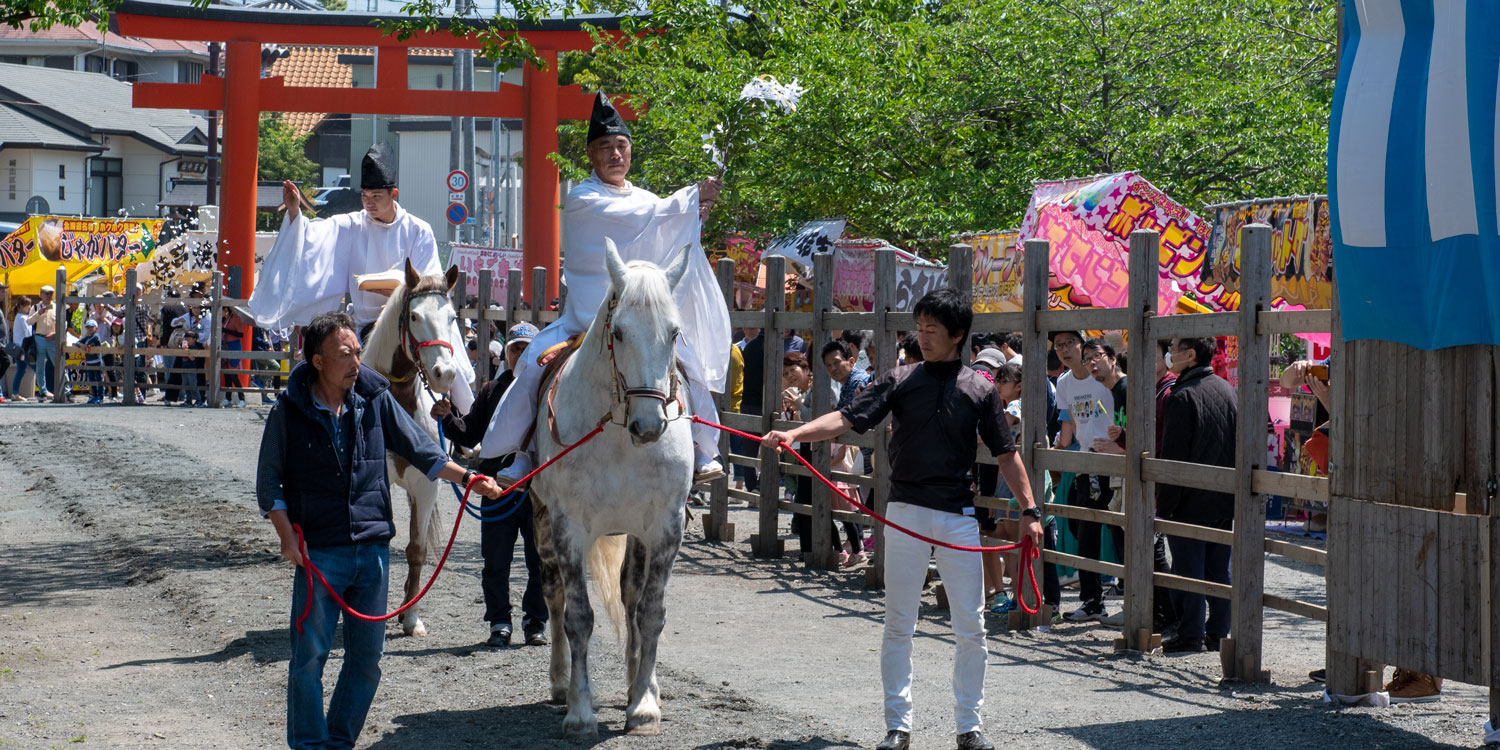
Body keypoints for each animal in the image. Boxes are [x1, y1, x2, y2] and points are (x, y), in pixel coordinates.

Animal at [360, 259, 459, 639]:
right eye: (415, 316)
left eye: (452, 317)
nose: (445, 373)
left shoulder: (426, 485)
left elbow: (417, 550)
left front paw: (412, 618)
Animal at [534, 240, 696, 738]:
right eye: (619, 332)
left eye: (675, 333)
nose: (650, 426)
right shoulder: (568, 527)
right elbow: (578, 617)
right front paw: (580, 711)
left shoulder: (664, 527)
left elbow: (650, 612)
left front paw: (643, 703)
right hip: (542, 521)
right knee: (554, 594)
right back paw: (561, 682)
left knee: (631, 598)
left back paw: (639, 684)